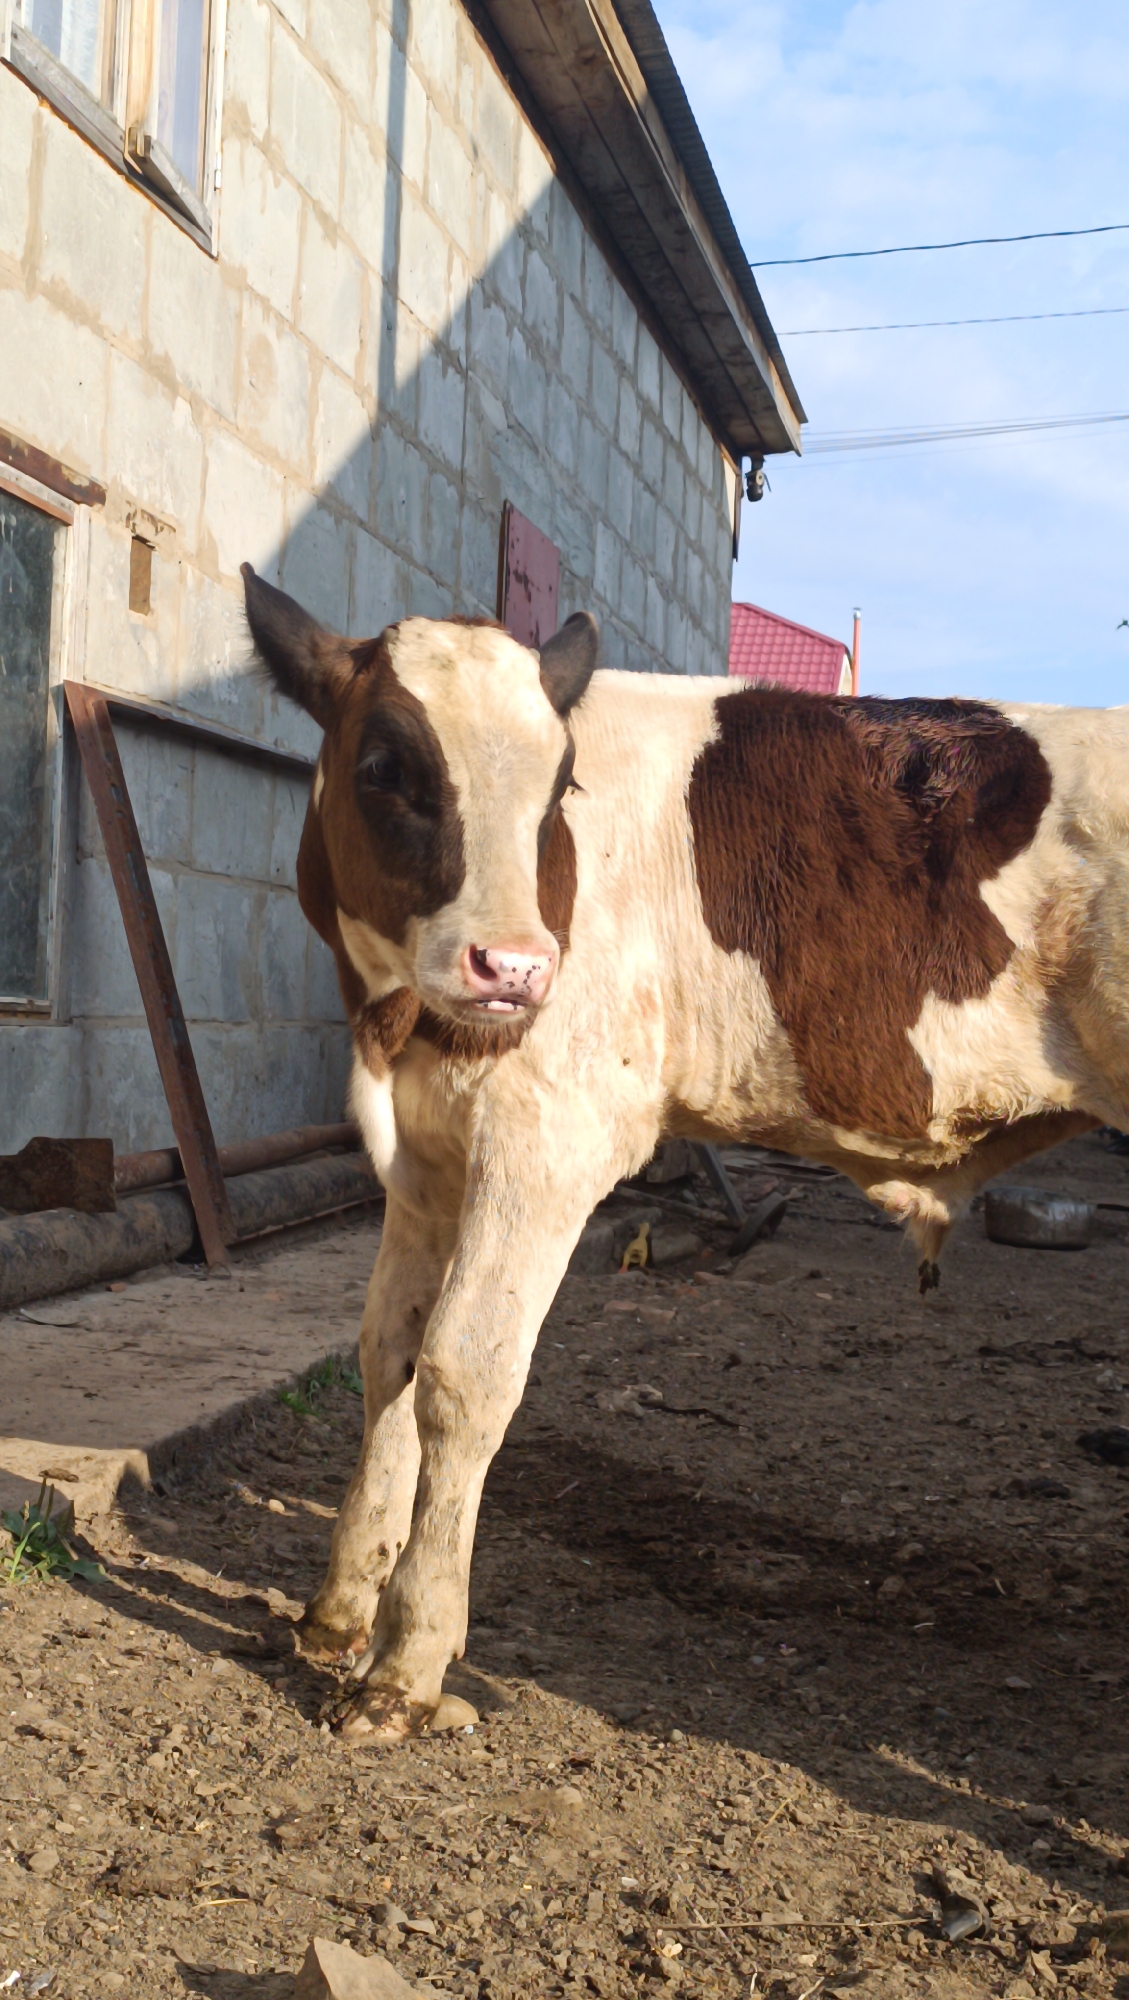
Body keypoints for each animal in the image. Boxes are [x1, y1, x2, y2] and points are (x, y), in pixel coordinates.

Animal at [242, 562, 1122, 1742]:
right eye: (385, 766)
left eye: (558, 787)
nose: (515, 969)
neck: (394, 1026)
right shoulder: (427, 1157)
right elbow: (390, 1350)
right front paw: (339, 1610)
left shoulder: (548, 1141)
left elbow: (464, 1374)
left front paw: (406, 1662)